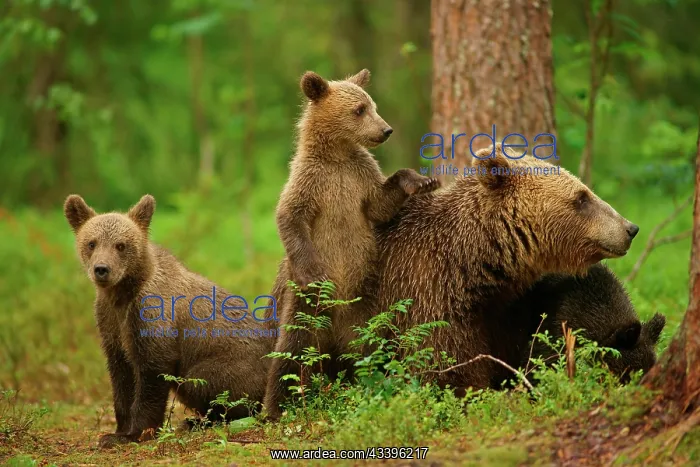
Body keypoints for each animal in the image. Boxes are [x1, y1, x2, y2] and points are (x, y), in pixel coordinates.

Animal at [64, 194, 276, 448]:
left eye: (121, 245)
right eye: (91, 243)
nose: (102, 269)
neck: (123, 295)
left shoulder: (151, 316)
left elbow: (152, 374)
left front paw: (135, 433)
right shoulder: (110, 323)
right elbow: (121, 377)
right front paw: (116, 431)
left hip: (231, 367)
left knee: (204, 385)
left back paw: (198, 421)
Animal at [263, 69, 440, 420]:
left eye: (373, 105)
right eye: (359, 109)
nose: (386, 130)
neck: (338, 155)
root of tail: (334, 332)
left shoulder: (359, 178)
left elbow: (379, 204)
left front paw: (421, 180)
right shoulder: (312, 181)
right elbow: (290, 217)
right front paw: (313, 270)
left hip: (366, 301)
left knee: (371, 345)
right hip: (305, 305)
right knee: (292, 348)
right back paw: (278, 406)